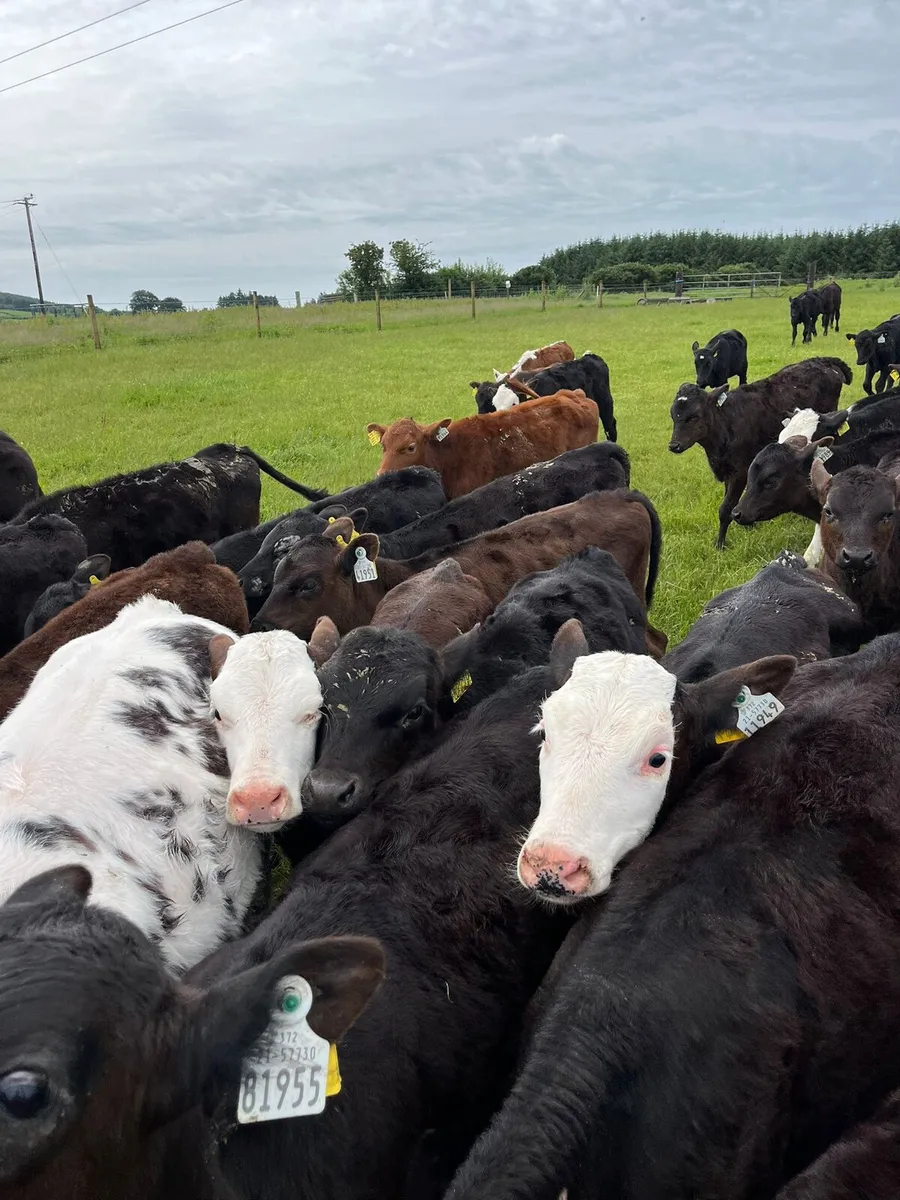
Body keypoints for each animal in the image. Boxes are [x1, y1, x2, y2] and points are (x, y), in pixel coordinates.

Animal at [668, 357, 852, 548]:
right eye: (673, 415)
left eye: (694, 416)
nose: (674, 445)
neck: (726, 423)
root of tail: (823, 361)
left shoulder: (739, 473)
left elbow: (725, 508)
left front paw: (720, 544)